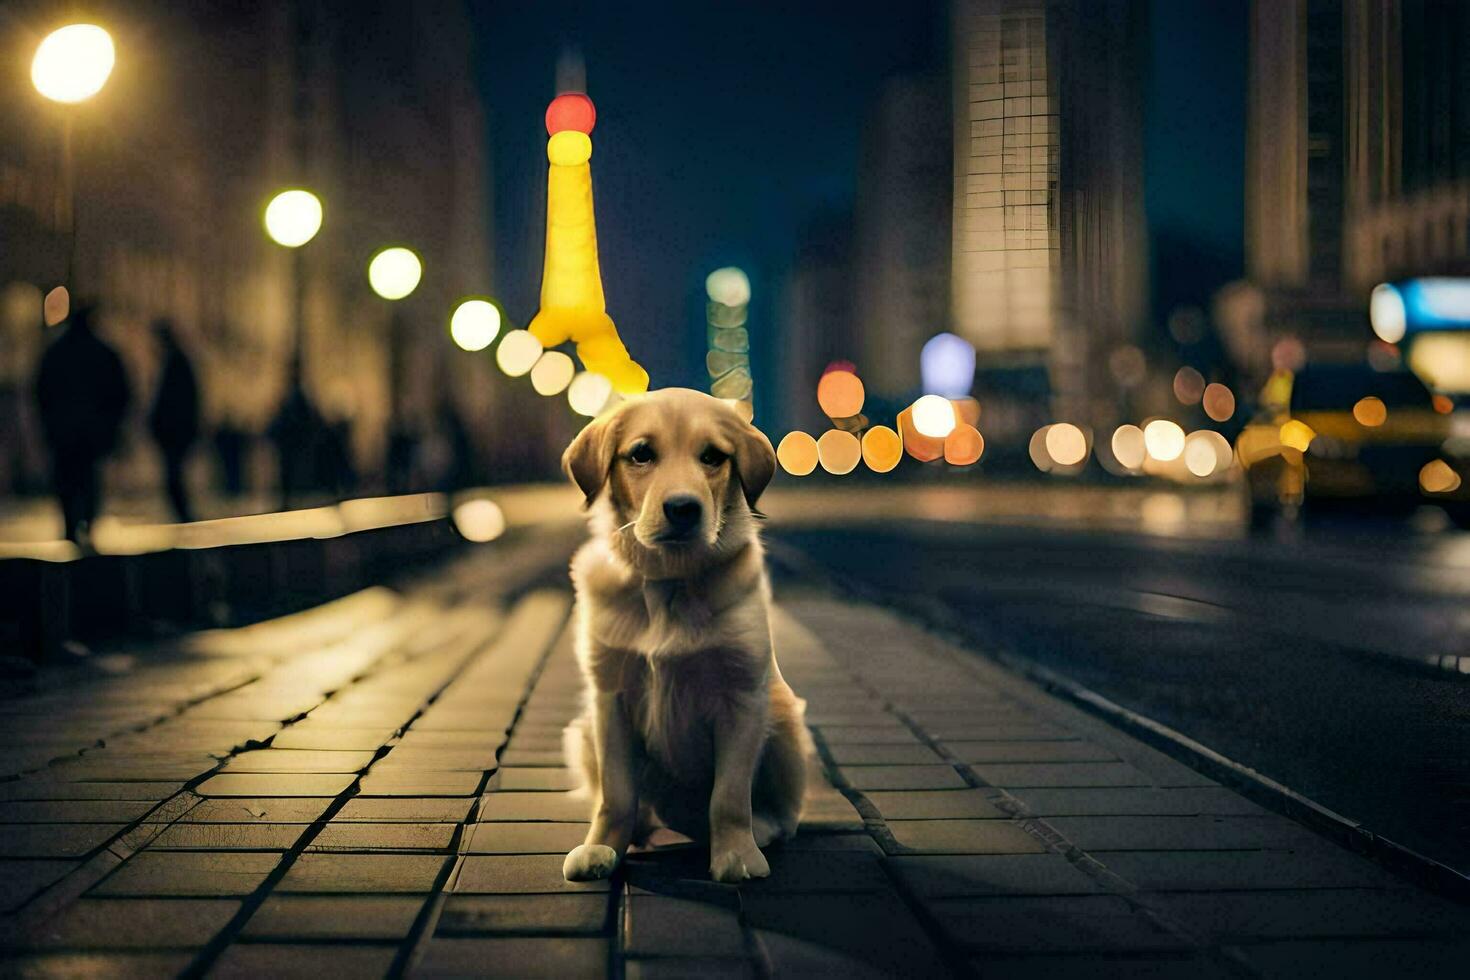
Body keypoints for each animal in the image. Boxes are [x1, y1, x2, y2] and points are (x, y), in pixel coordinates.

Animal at [555, 387, 811, 887]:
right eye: (641, 454)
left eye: (712, 456)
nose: (683, 508)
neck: (667, 581)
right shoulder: (609, 696)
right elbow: (616, 794)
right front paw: (601, 847)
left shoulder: (742, 695)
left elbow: (729, 796)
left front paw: (736, 855)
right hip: (583, 730)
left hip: (784, 715)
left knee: (783, 817)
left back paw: (762, 829)